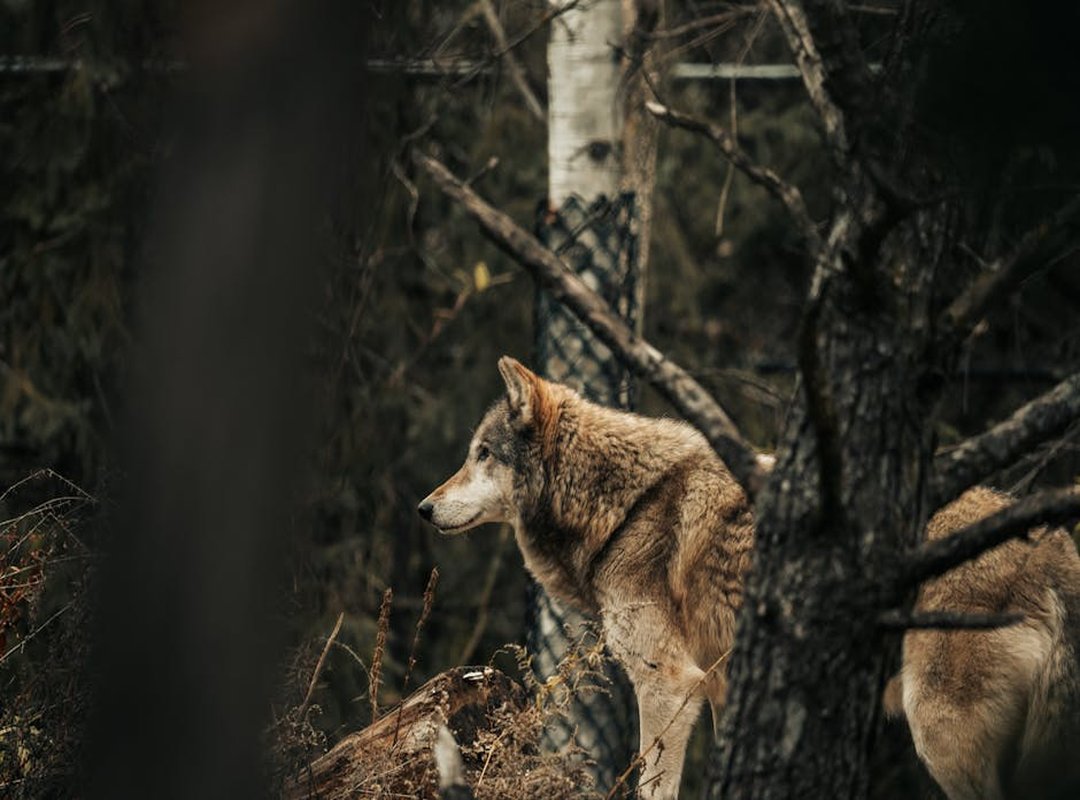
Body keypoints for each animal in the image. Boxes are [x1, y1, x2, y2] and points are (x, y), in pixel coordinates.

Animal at [419, 356, 1080, 799]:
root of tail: (1058, 550)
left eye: (482, 454)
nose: (424, 508)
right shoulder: (725, 697)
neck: (622, 509)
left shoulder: (669, 688)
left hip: (940, 733)